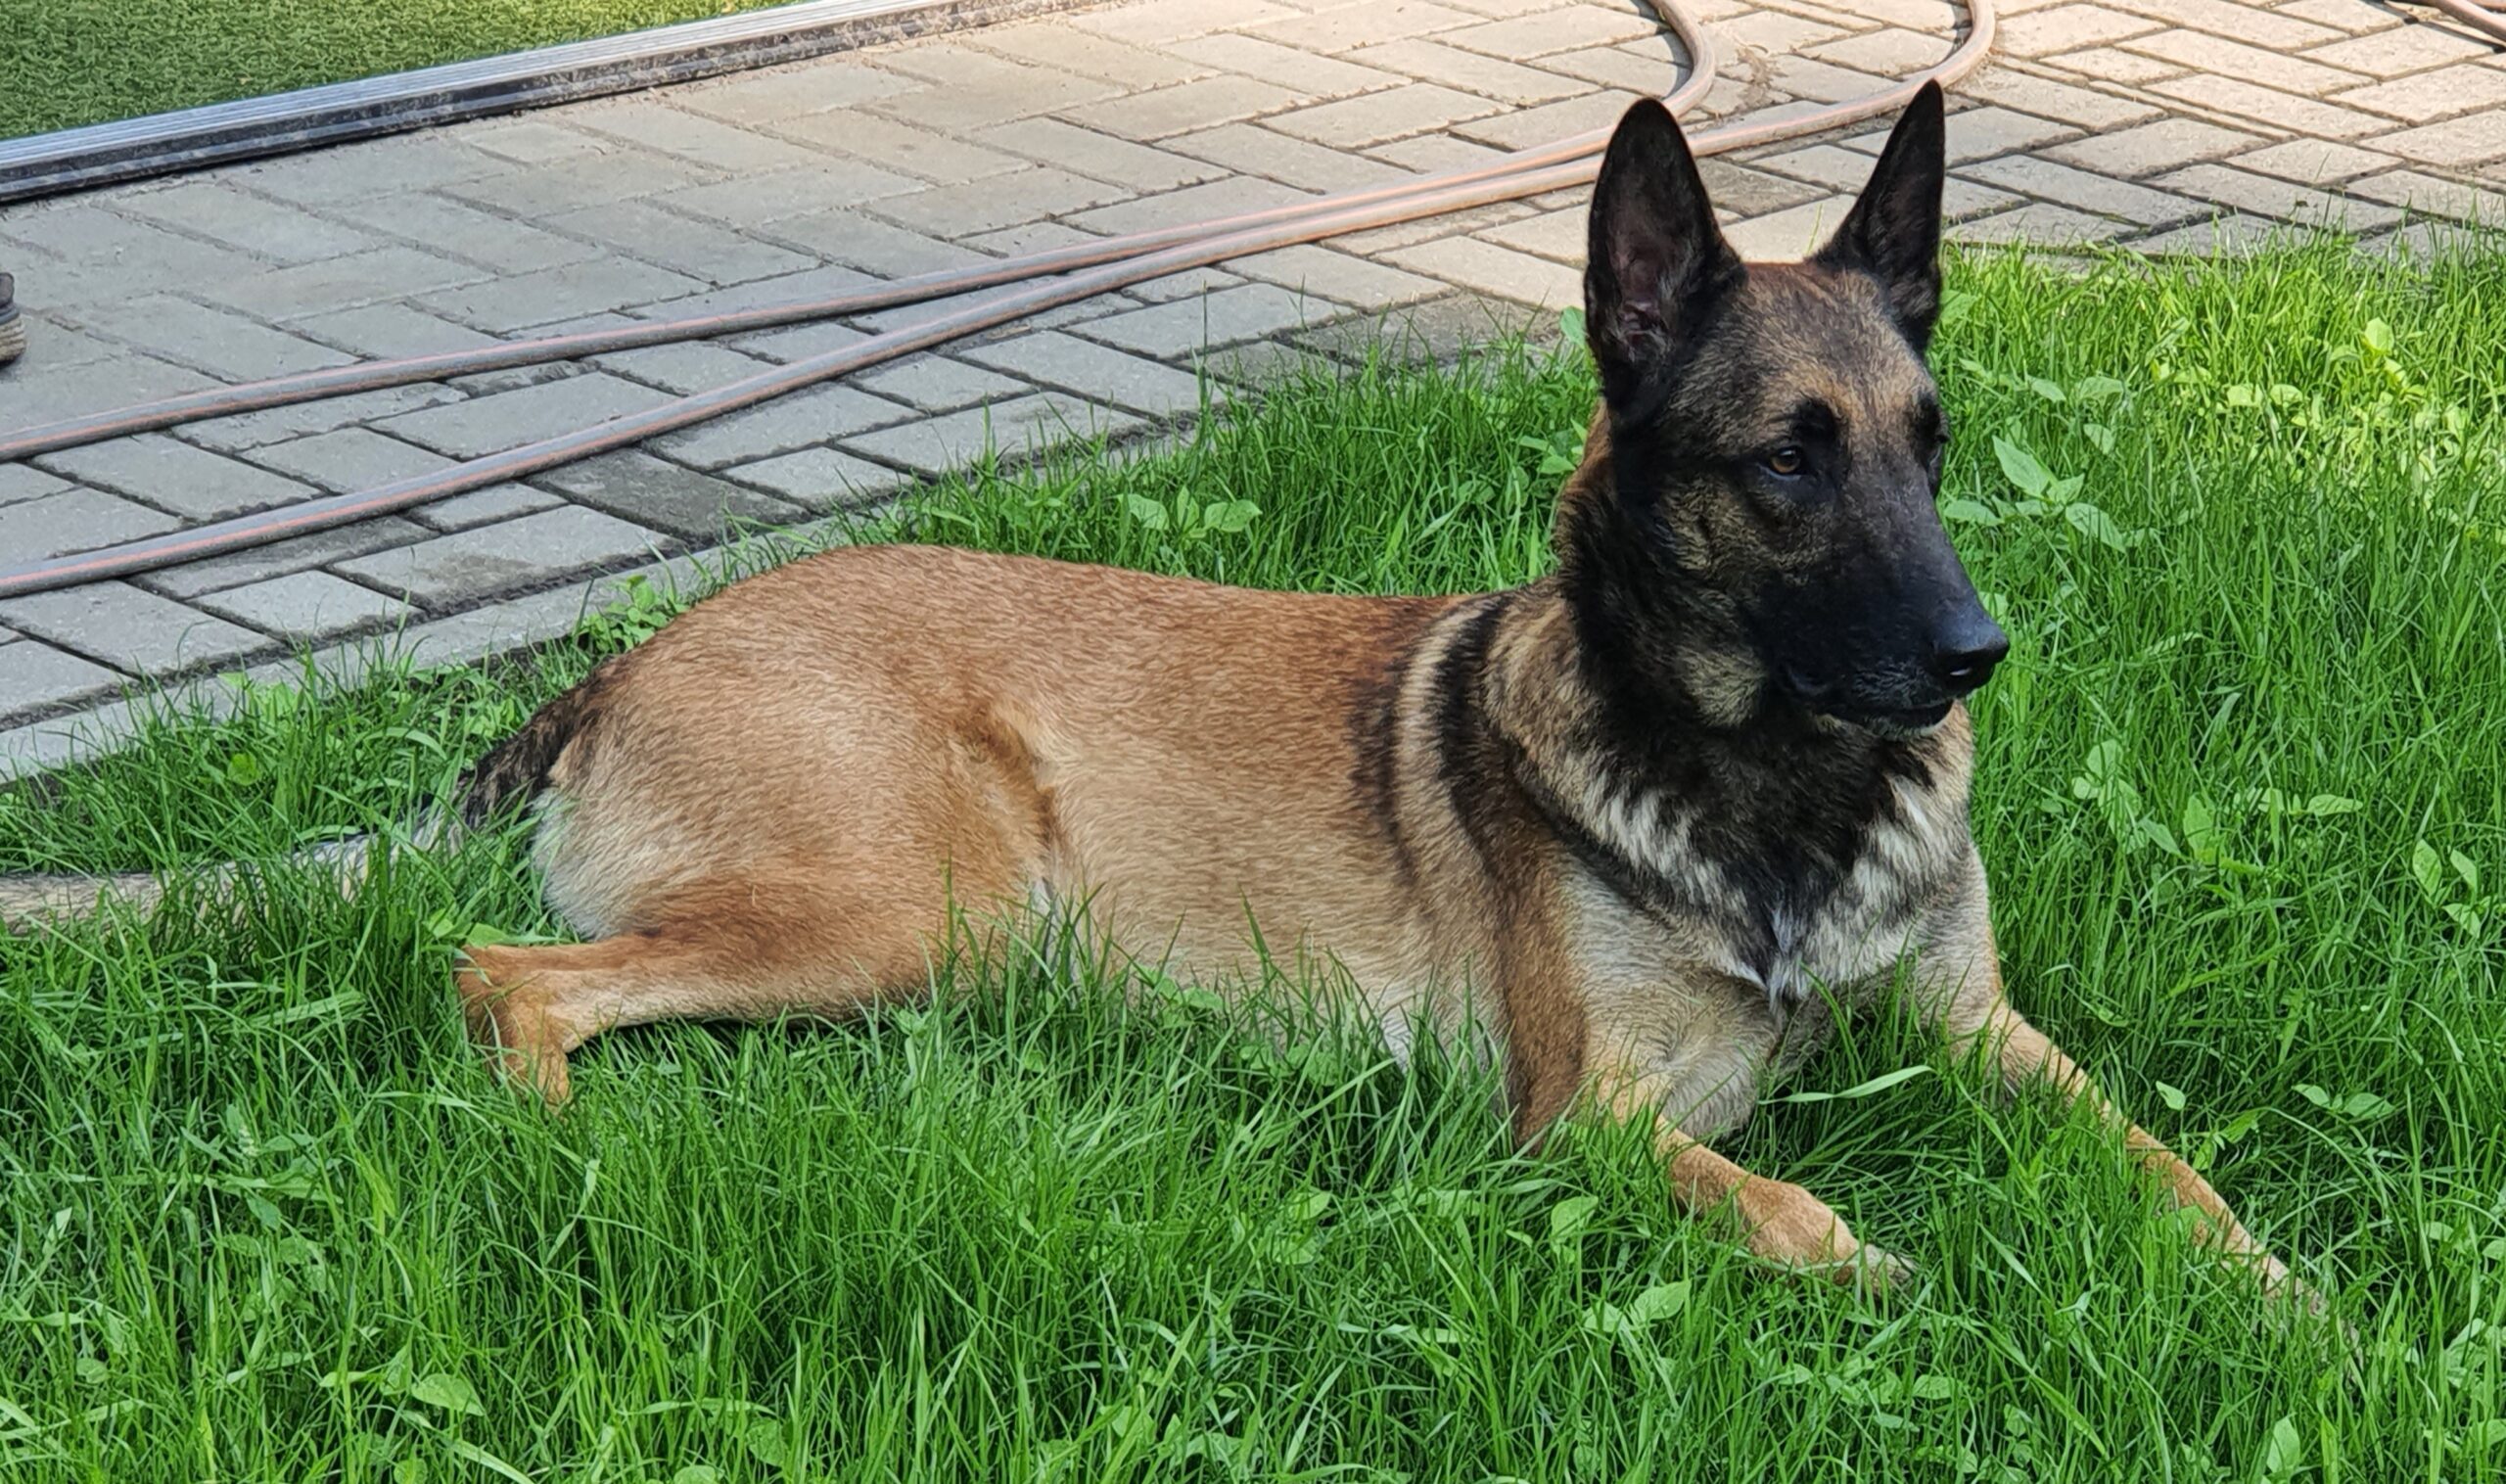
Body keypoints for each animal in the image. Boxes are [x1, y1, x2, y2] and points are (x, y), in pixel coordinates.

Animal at [5, 84, 2300, 1301]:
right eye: (1788, 460)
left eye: (1927, 438)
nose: (1973, 657)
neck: (1771, 802)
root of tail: (632, 653)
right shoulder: (1585, 1122)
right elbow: (1808, 1208)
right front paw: (1934, 1280)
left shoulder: (1993, 1039)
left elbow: (2170, 1165)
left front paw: (2279, 1294)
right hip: (906, 905)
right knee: (505, 979)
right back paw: (580, 1167)